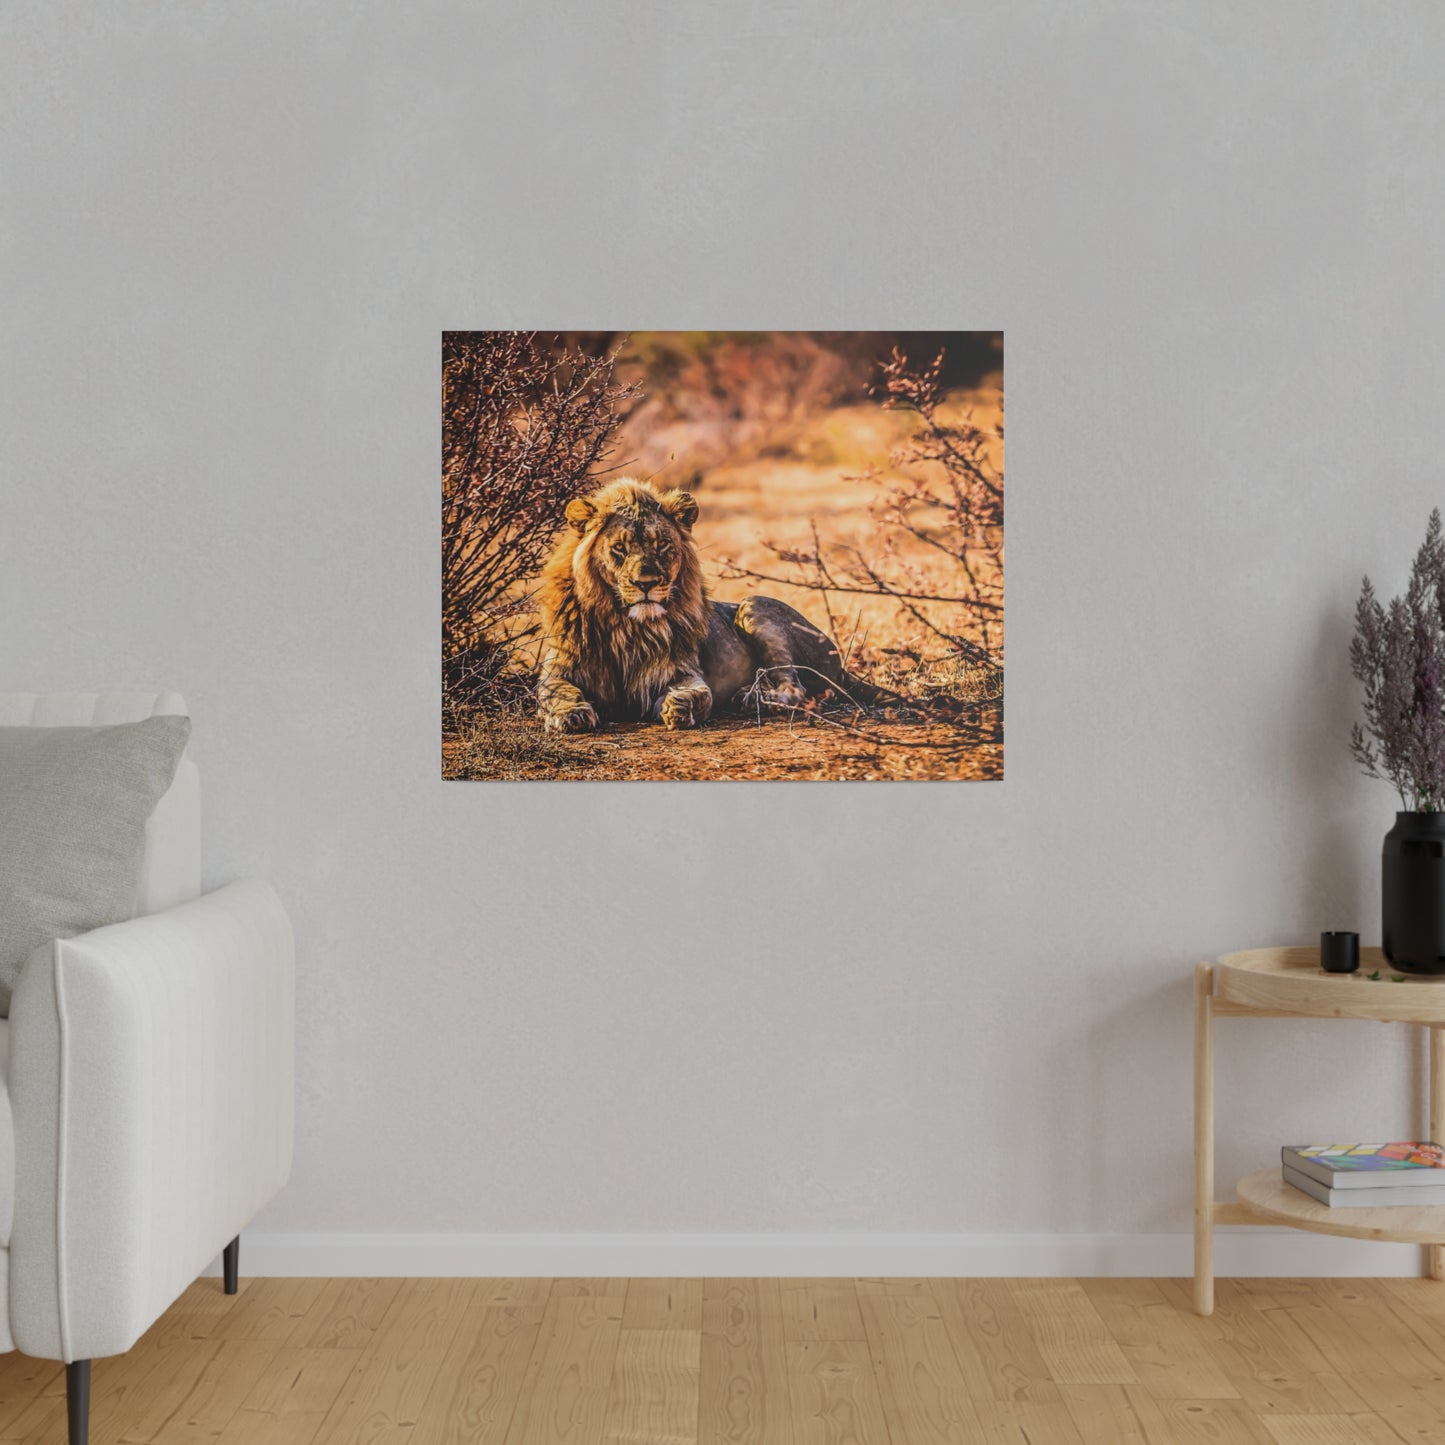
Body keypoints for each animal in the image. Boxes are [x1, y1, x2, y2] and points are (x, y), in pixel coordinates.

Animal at [537, 476, 872, 734]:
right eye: (619, 548)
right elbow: (556, 692)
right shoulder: (557, 669)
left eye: (662, 545)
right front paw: (572, 714)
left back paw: (751, 698)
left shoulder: (680, 671)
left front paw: (679, 707)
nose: (646, 583)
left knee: (795, 689)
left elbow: (700, 693)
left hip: (753, 606)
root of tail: (841, 665)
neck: (626, 626)